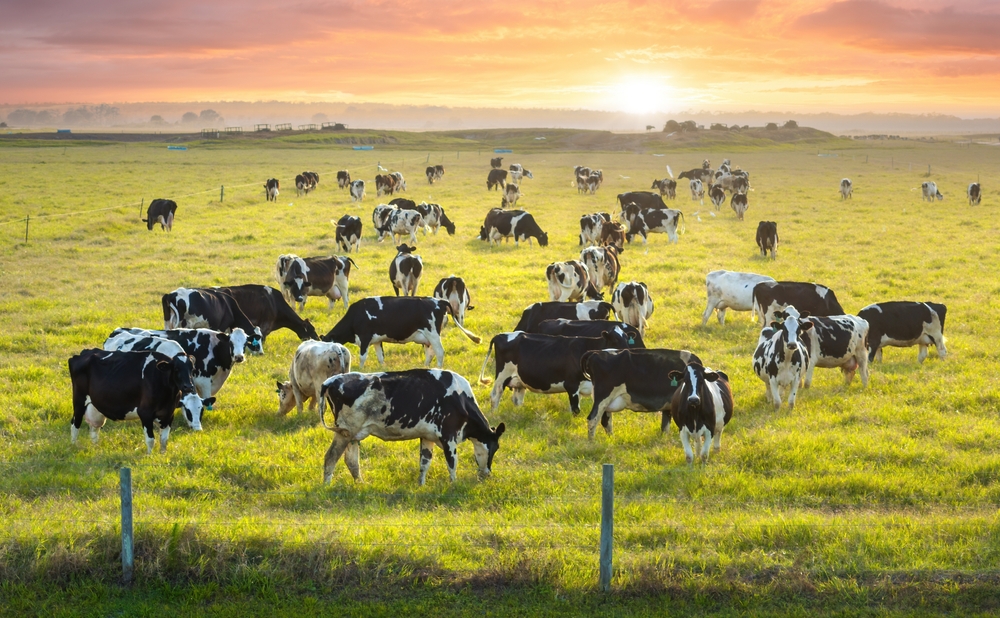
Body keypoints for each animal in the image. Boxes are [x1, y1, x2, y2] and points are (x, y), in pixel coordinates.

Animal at [69, 349, 204, 454]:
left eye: (192, 369)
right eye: (176, 369)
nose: (188, 386)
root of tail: (86, 352)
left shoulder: (168, 414)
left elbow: (164, 440)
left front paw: (162, 455)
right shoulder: (145, 413)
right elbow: (151, 440)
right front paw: (149, 457)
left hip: (95, 406)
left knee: (94, 429)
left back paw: (95, 447)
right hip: (79, 400)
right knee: (75, 424)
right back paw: (73, 446)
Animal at [320, 369, 505, 485]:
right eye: (495, 447)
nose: (487, 473)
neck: (460, 398)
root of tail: (331, 381)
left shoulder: (428, 437)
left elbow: (424, 463)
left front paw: (421, 484)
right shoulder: (449, 436)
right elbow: (452, 463)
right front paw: (454, 484)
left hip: (353, 435)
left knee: (351, 461)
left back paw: (360, 483)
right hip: (345, 432)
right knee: (331, 457)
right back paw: (327, 485)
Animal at [322, 296, 481, 369]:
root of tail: (439, 301)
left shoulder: (365, 338)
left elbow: (362, 357)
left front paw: (360, 369)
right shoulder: (377, 340)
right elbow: (380, 356)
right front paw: (382, 368)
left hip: (433, 334)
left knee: (440, 352)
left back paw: (438, 368)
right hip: (428, 338)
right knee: (430, 353)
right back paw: (425, 367)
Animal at [478, 330, 632, 413]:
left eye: (627, 338)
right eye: (615, 339)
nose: (627, 351)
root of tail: (501, 335)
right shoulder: (572, 384)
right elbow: (575, 409)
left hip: (519, 380)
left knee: (517, 400)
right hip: (502, 376)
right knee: (495, 395)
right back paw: (494, 414)